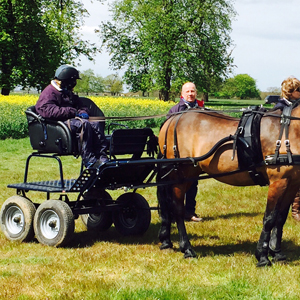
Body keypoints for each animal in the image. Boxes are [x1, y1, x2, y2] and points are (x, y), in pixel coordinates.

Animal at [156, 106, 300, 266]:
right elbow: (270, 218)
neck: (291, 129)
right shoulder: (278, 181)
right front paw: (262, 257)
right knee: (177, 209)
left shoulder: (292, 183)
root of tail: (172, 119)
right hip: (180, 175)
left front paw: (277, 252)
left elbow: (280, 218)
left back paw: (166, 241)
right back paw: (187, 249)